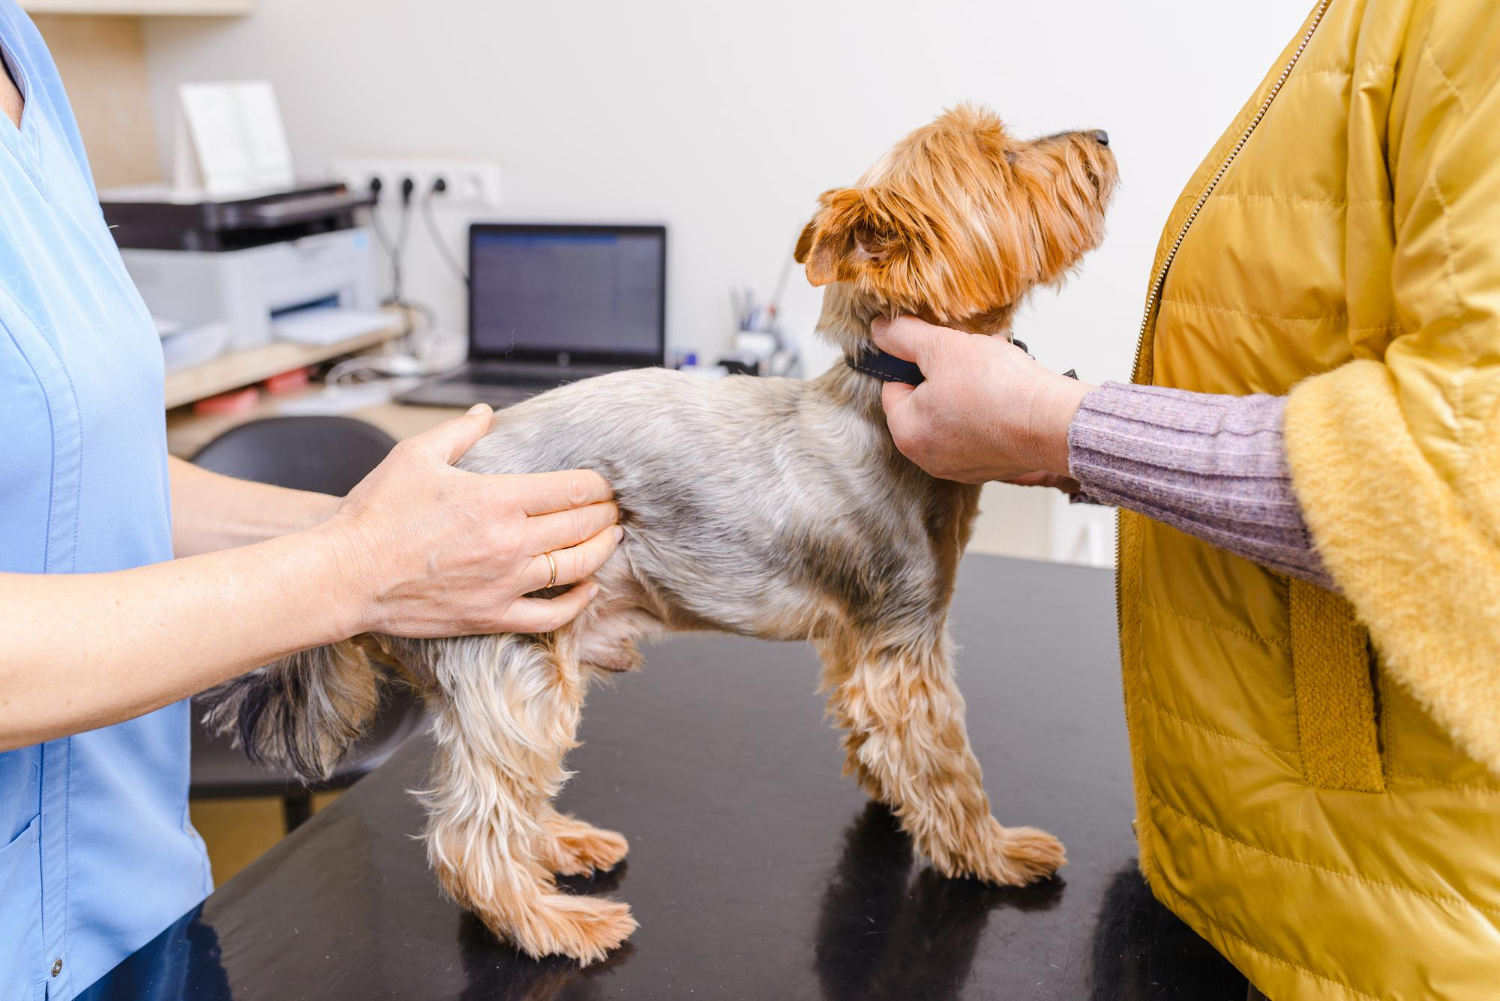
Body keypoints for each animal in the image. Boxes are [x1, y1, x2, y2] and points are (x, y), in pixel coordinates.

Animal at [208, 105, 1116, 966]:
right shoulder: (904, 636)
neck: (882, 393)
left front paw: (889, 791)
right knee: (472, 830)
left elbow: (876, 733)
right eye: (1003, 155)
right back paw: (553, 923)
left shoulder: (856, 640)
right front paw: (992, 850)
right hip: (514, 647)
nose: (1105, 135)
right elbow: (946, 761)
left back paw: (562, 843)